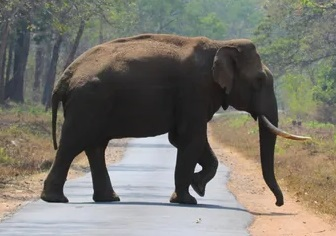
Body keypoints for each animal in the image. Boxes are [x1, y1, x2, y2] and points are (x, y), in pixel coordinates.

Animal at [40, 33, 312, 206]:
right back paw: (55, 199)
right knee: (73, 143)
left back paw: (109, 198)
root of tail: (64, 77)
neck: (220, 45)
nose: (279, 203)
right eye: (259, 80)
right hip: (88, 101)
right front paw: (190, 198)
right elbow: (191, 137)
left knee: (95, 146)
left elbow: (183, 138)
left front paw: (197, 185)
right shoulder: (195, 89)